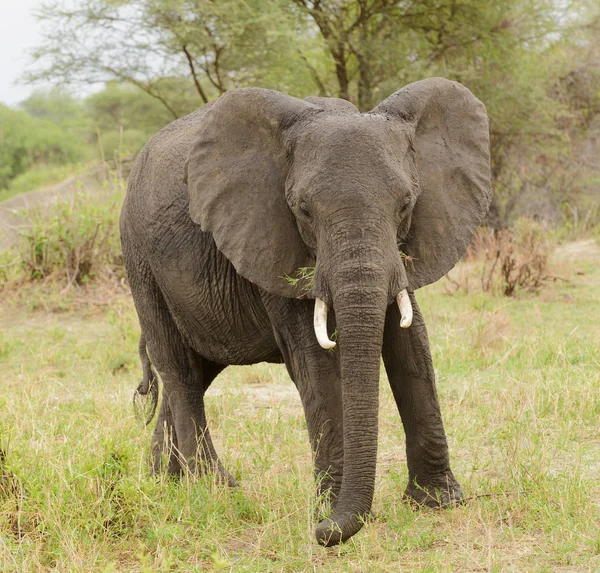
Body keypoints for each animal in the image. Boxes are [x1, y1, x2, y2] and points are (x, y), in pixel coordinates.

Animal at [120, 76, 492, 544]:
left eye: (406, 204)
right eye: (303, 211)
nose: (323, 534)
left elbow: (412, 344)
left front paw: (439, 502)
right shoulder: (274, 238)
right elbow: (315, 363)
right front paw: (330, 511)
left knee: (193, 375)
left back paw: (163, 485)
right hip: (140, 260)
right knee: (180, 372)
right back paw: (215, 490)